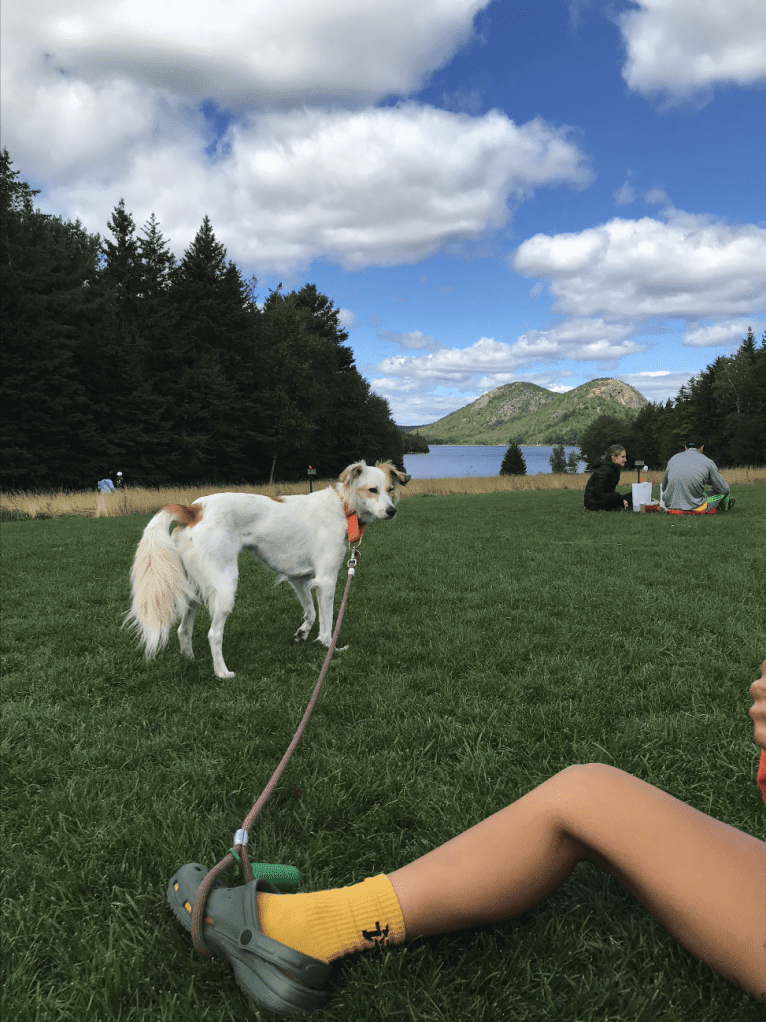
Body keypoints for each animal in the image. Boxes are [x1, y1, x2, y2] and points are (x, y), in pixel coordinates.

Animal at [122, 463, 408, 678]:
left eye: (390, 489)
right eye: (372, 490)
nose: (392, 511)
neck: (341, 506)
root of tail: (194, 508)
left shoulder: (299, 578)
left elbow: (310, 612)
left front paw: (303, 632)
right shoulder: (326, 580)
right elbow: (328, 622)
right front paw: (329, 647)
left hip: (195, 588)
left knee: (183, 629)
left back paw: (190, 659)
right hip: (225, 586)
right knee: (214, 634)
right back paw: (222, 672)